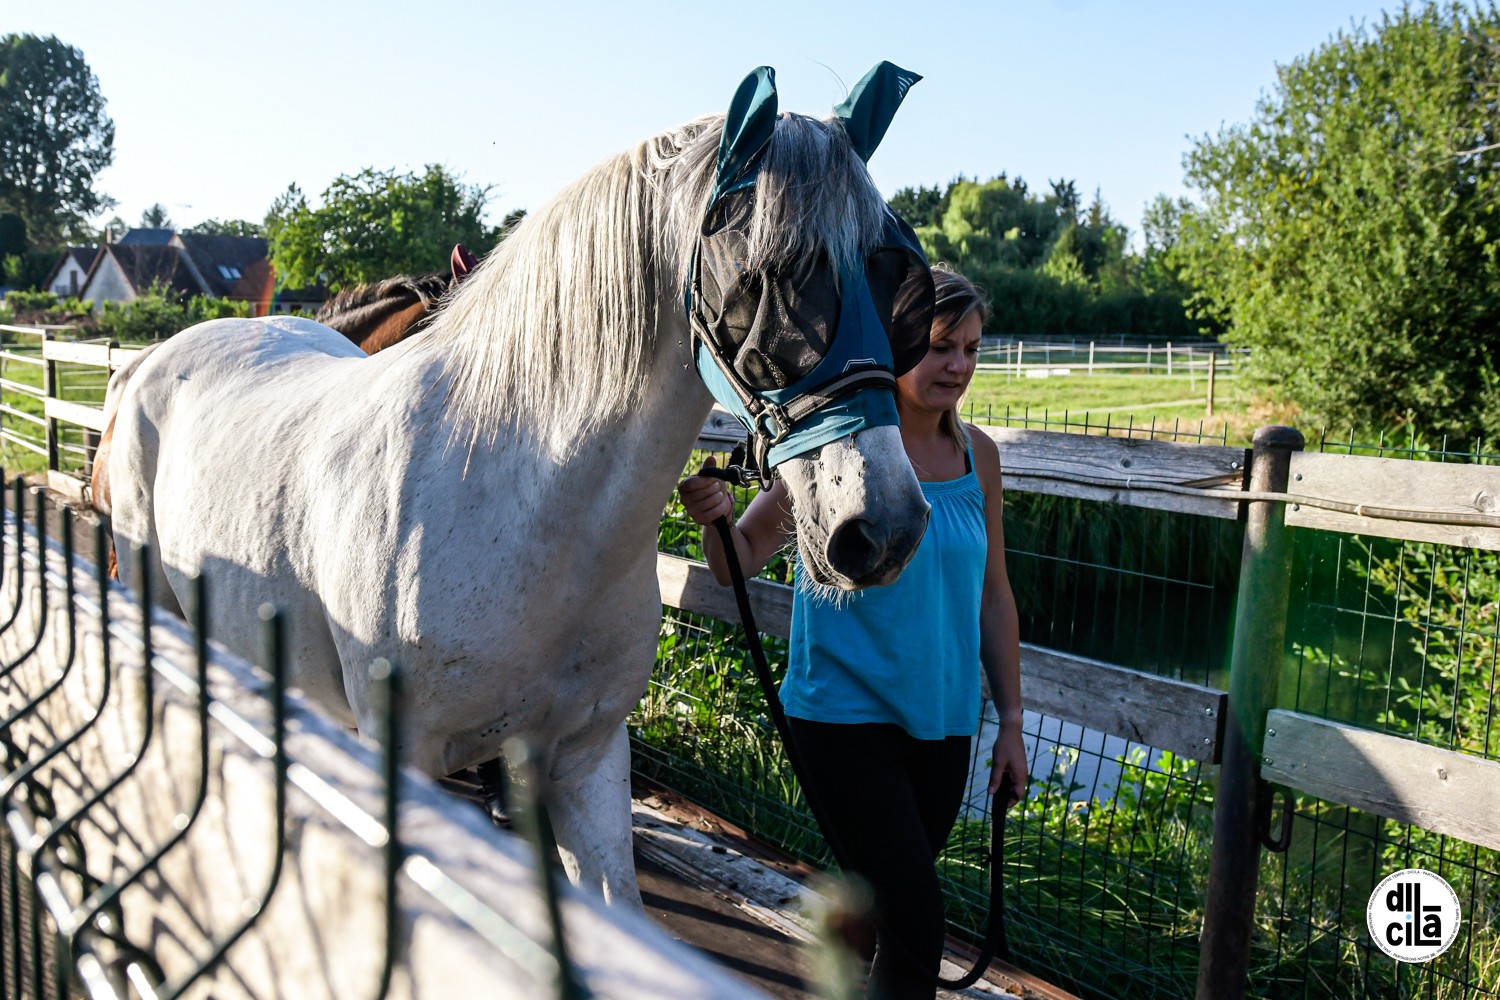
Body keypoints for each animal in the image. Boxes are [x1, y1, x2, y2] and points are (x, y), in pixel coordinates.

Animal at [108, 103, 924, 905]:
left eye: (892, 280)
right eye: (762, 278)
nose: (882, 528)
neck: (522, 502)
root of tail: (148, 360)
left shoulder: (585, 757)